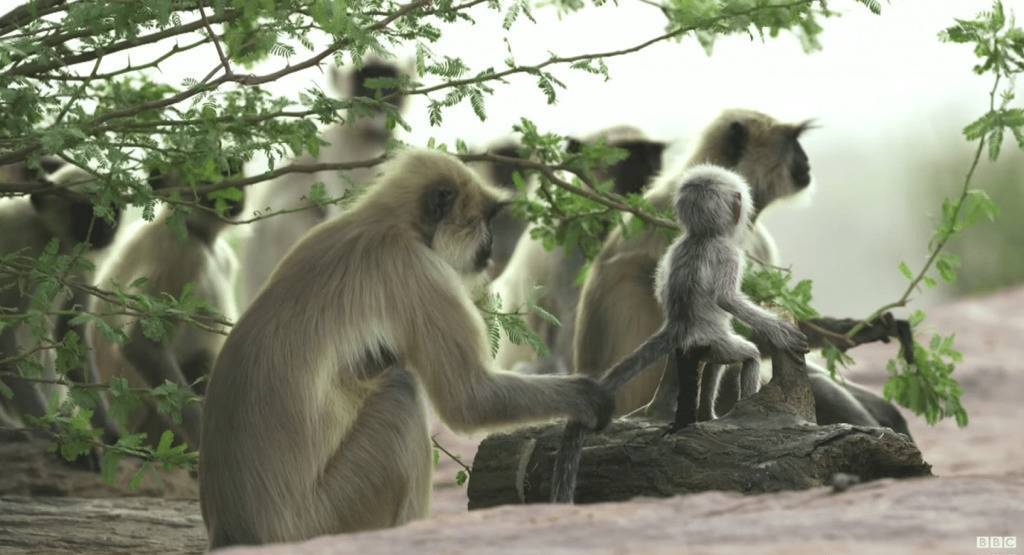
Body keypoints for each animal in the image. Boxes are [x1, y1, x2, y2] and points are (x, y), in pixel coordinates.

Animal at [201, 149, 614, 548]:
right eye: (484, 220)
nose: (492, 245)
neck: (387, 223)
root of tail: (236, 531)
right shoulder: (417, 268)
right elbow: (469, 399)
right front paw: (588, 396)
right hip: (328, 515)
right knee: (401, 392)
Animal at [552, 163, 806, 503]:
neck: (701, 237)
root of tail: (681, 326)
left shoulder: (673, 249)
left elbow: (660, 286)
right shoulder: (728, 252)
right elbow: (727, 298)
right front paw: (780, 331)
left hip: (707, 345)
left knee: (712, 365)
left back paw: (708, 415)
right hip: (717, 341)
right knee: (747, 356)